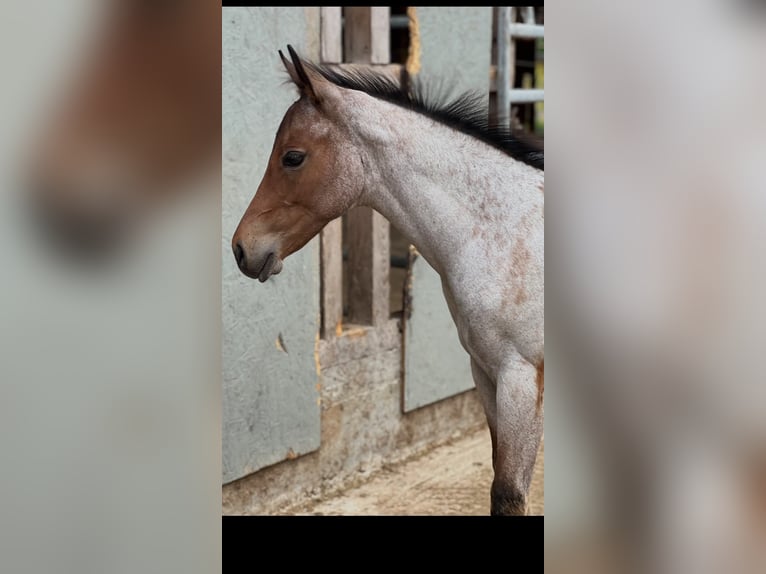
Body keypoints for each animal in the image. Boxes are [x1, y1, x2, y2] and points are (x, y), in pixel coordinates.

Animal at [231, 45, 544, 515]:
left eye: (293, 157)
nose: (241, 249)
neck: (502, 231)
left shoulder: (521, 379)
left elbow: (508, 493)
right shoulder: (487, 374)